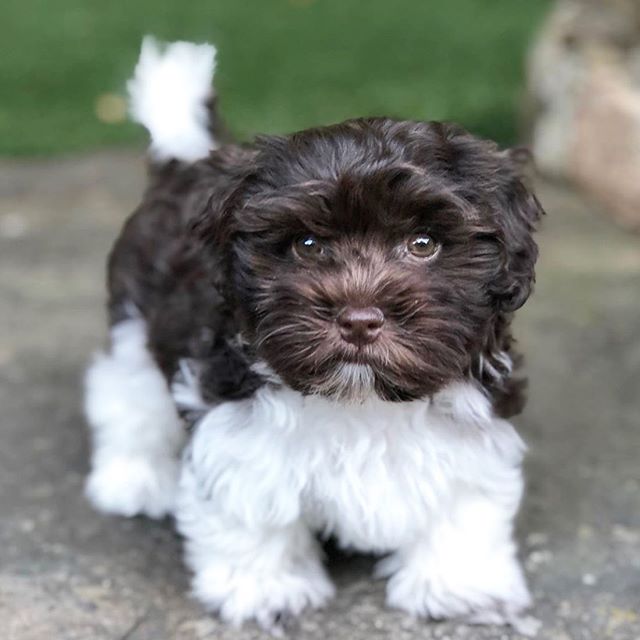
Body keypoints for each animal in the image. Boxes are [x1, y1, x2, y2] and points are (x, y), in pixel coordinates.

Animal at [85, 38, 544, 636]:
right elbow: (253, 511)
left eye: (424, 243)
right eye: (307, 245)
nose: (359, 320)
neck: (363, 398)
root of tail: (184, 165)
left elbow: (465, 503)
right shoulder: (240, 426)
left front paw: (460, 587)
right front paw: (264, 589)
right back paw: (132, 479)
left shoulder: (473, 420)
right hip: (134, 325)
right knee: (127, 398)